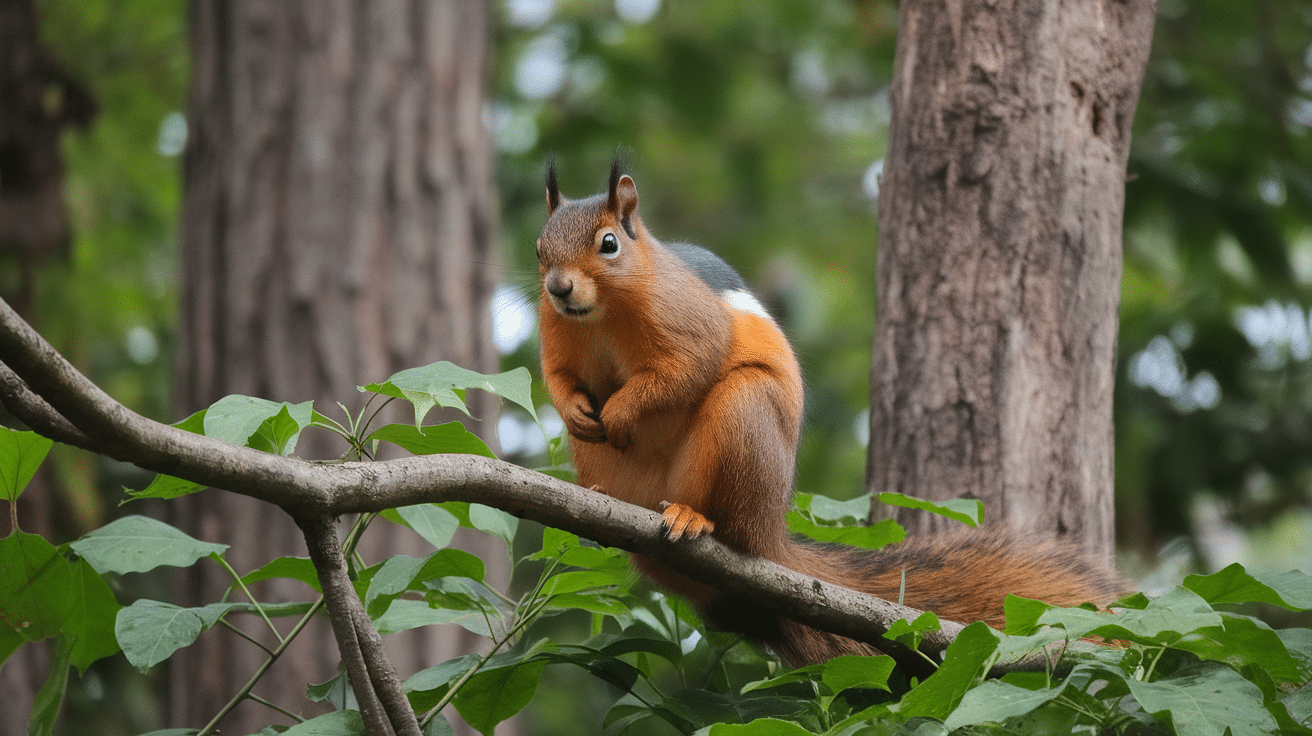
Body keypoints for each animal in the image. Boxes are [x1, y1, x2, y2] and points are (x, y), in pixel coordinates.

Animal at [537, 160, 1123, 666]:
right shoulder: (556, 335)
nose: (558, 288)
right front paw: (577, 408)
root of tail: (772, 537)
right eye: (540, 249)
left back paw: (692, 517)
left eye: (609, 244)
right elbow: (558, 379)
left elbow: (686, 367)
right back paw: (596, 499)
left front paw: (621, 409)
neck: (600, 315)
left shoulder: (689, 321)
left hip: (744, 426)